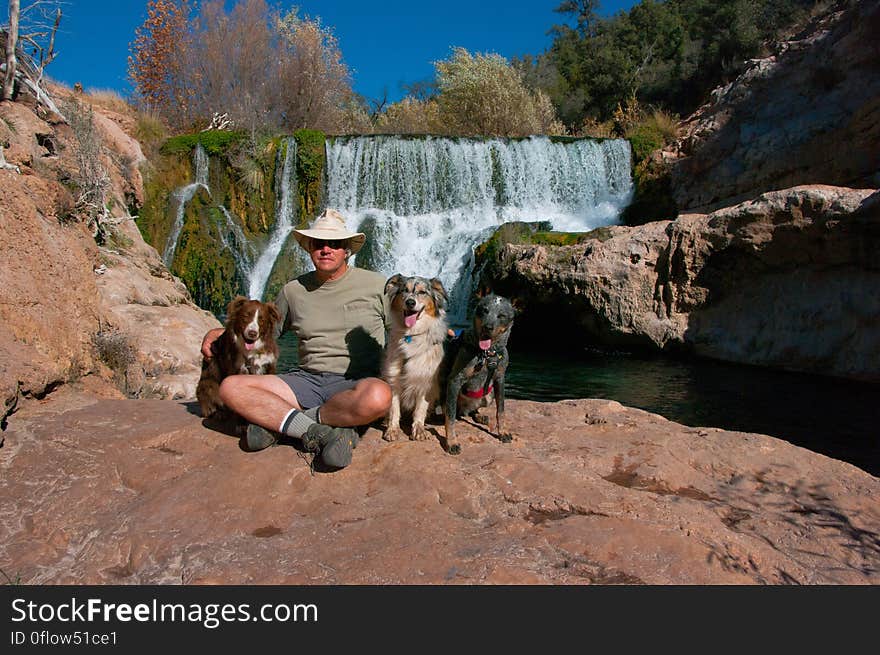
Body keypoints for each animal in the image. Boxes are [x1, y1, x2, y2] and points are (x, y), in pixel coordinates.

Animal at [380, 274, 446, 444]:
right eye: (405, 290)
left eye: (422, 292)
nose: (410, 302)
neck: (410, 334)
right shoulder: (393, 379)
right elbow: (394, 409)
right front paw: (392, 429)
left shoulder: (425, 381)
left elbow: (419, 410)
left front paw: (419, 430)